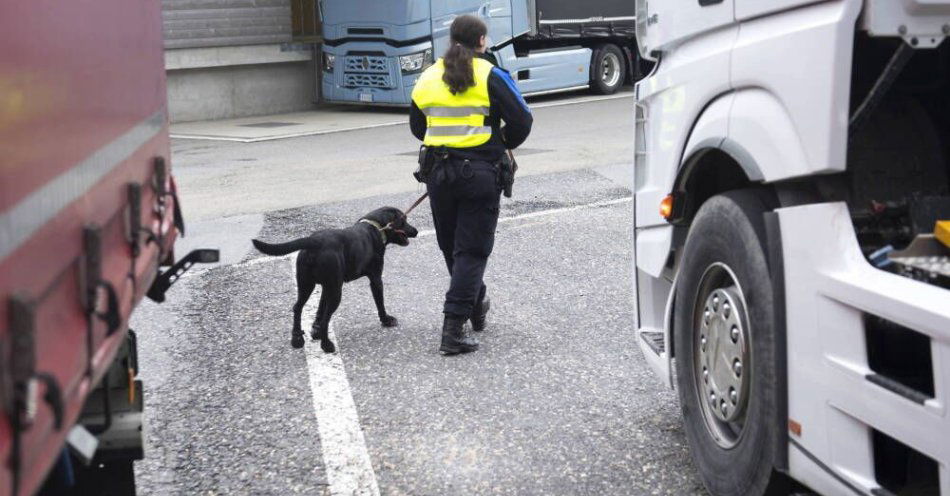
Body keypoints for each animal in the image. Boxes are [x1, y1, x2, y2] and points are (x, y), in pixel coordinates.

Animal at [251, 207, 418, 350]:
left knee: (297, 307)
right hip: (336, 292)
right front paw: (386, 320)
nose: (415, 231)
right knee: (326, 317)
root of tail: (314, 242)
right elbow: (380, 303)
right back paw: (327, 345)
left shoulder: (326, 287)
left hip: (306, 284)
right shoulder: (375, 279)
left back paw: (297, 339)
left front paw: (316, 331)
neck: (376, 227)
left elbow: (319, 309)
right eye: (404, 220)